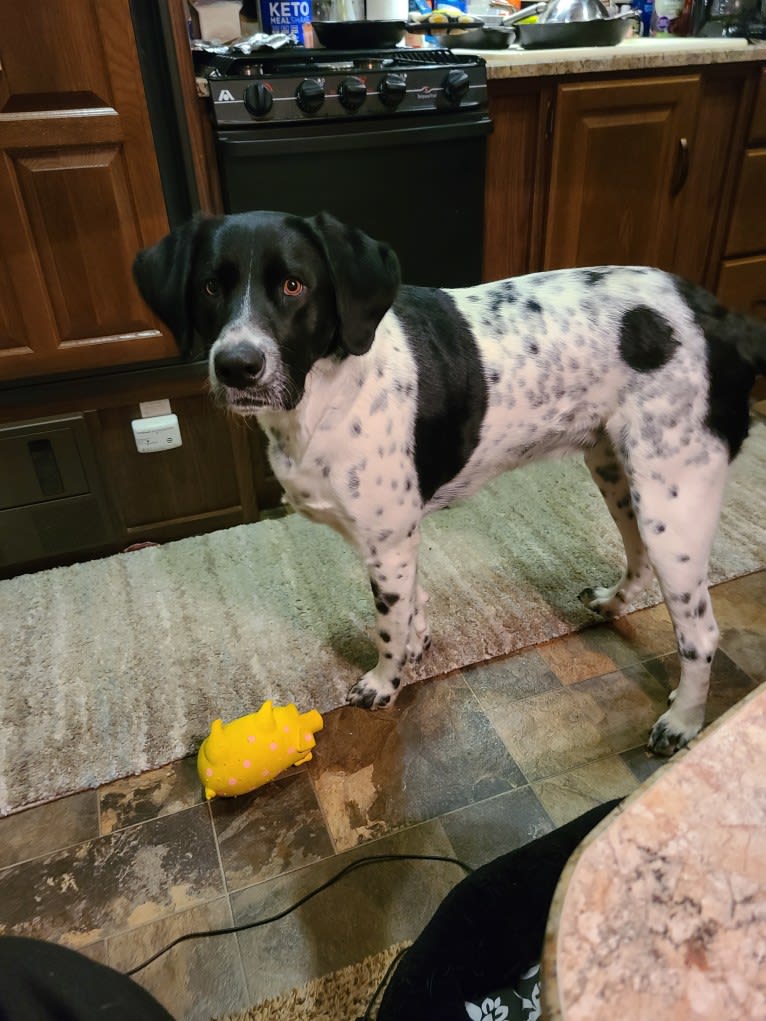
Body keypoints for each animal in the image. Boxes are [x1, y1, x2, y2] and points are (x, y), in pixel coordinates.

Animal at [133, 213, 766, 759]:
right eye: (210, 287)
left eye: (294, 285)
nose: (237, 366)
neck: (329, 389)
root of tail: (717, 314)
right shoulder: (402, 540)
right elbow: (414, 608)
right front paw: (419, 648)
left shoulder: (387, 545)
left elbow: (388, 627)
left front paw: (385, 683)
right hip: (620, 478)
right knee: (636, 558)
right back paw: (614, 603)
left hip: (673, 506)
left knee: (701, 634)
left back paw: (683, 721)